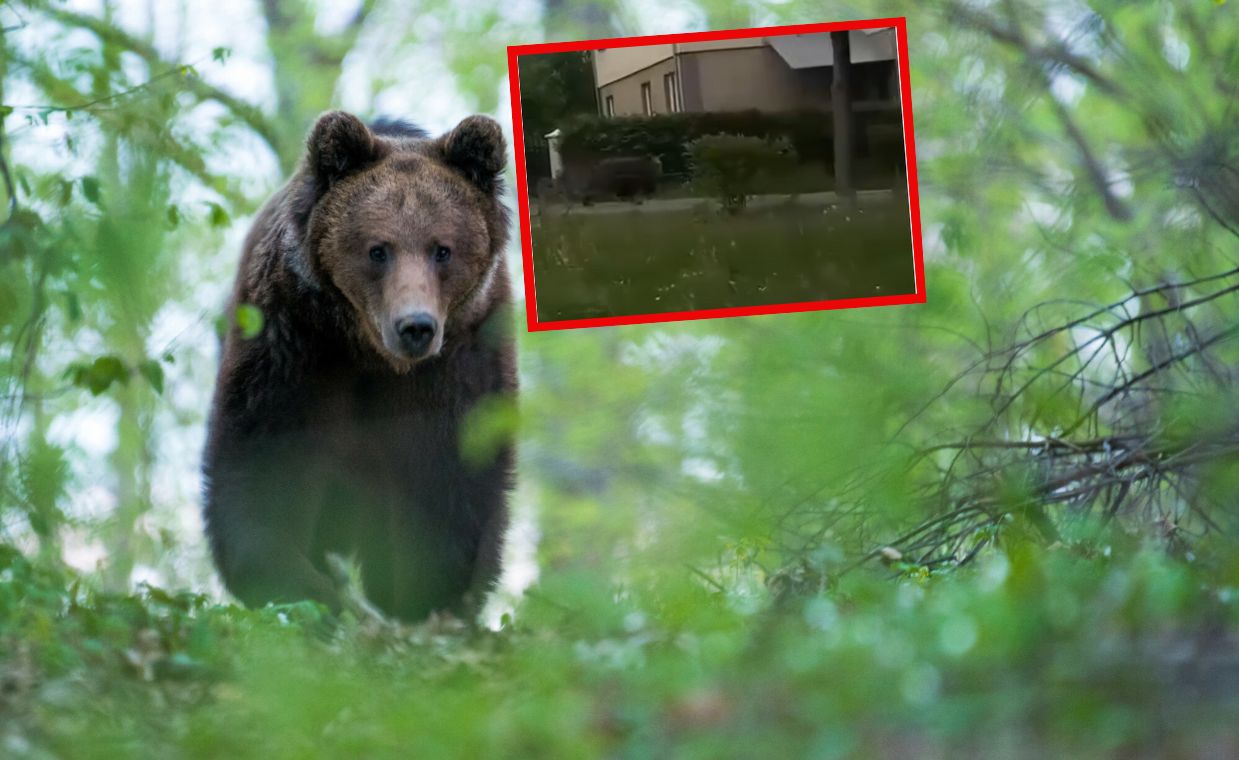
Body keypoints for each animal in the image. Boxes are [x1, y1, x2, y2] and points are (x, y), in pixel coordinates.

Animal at [205, 112, 515, 622]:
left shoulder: (459, 362)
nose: (416, 326)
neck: (369, 353)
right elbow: (265, 467)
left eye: (442, 249)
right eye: (378, 249)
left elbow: (448, 484)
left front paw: (425, 605)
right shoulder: (294, 344)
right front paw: (306, 592)